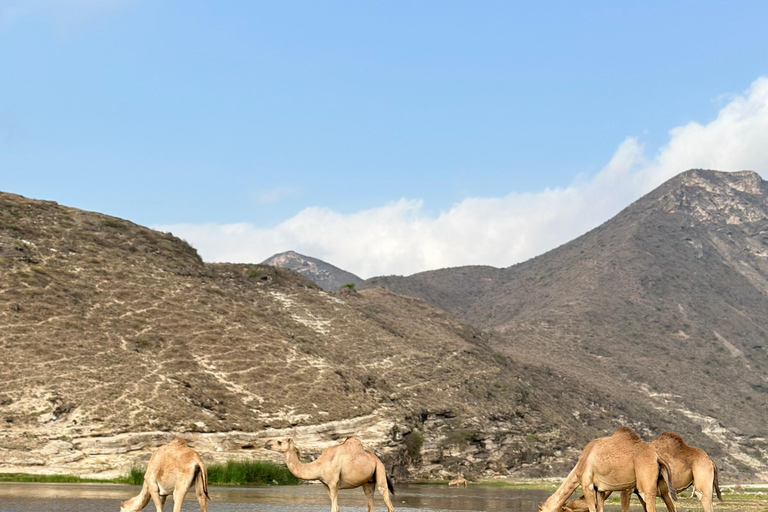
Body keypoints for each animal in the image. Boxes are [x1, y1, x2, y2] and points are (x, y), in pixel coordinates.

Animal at [264, 436, 396, 512]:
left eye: (279, 442)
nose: (266, 443)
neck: (319, 465)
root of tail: (377, 459)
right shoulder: (326, 485)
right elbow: (336, 507)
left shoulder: (333, 483)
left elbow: (334, 508)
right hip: (368, 482)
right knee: (370, 504)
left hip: (380, 471)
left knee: (388, 502)